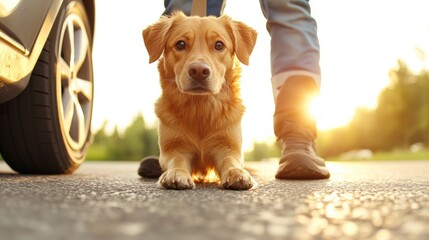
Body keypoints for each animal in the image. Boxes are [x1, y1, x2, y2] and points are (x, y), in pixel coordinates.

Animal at [143, 11, 258, 190]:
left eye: (219, 45)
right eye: (180, 44)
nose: (198, 71)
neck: (201, 108)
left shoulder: (228, 145)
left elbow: (230, 160)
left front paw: (237, 173)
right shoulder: (174, 148)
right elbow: (177, 160)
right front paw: (175, 173)